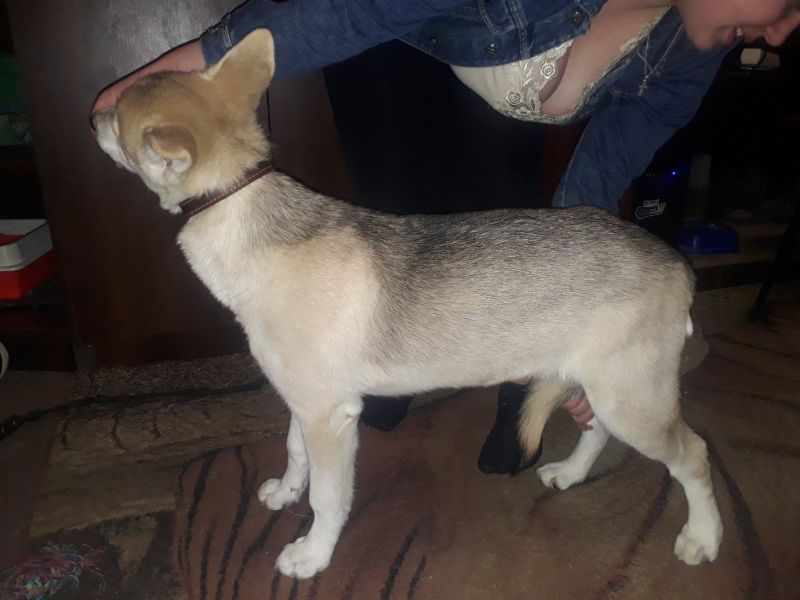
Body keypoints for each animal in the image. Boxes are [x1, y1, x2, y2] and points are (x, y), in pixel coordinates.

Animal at [93, 29, 722, 580]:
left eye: (118, 118)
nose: (92, 113)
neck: (248, 223)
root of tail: (675, 263)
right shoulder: (303, 402)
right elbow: (295, 454)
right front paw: (286, 492)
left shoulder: (331, 416)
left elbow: (328, 498)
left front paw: (313, 554)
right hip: (602, 389)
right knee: (597, 431)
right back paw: (570, 473)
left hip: (633, 399)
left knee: (692, 454)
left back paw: (704, 536)